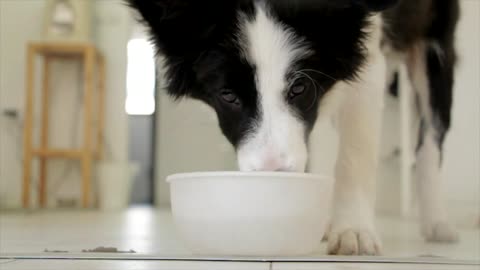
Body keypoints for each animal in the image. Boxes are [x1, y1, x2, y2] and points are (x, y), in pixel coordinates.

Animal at [127, 0, 462, 254]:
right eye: (228, 96)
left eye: (300, 88)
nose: (272, 174)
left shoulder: (364, 53)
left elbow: (356, 152)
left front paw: (353, 230)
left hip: (434, 45)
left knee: (431, 137)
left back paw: (437, 223)